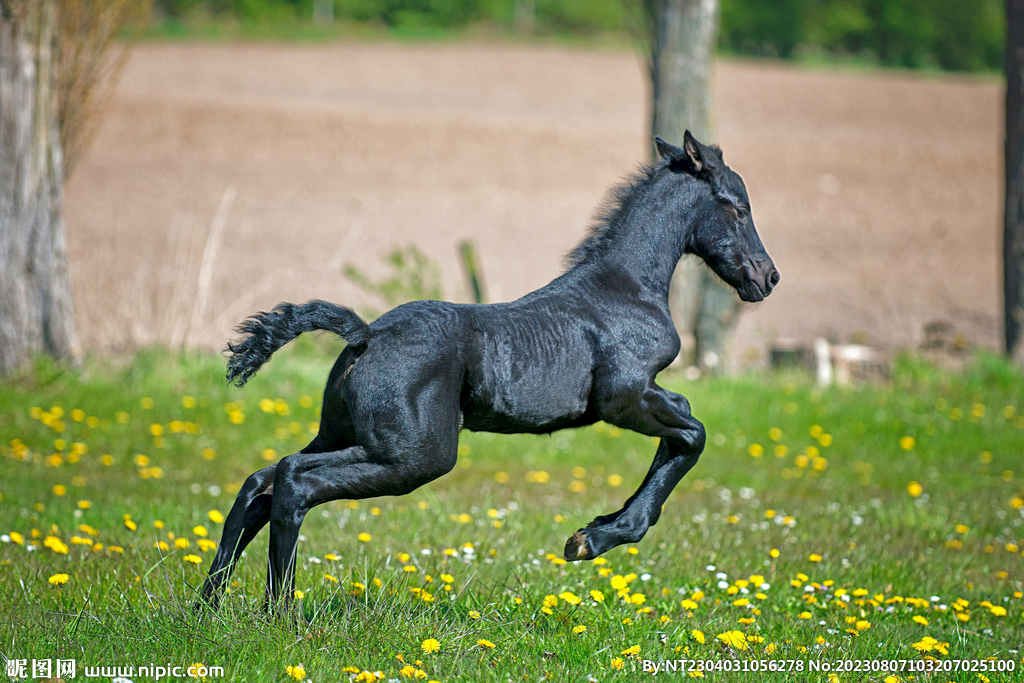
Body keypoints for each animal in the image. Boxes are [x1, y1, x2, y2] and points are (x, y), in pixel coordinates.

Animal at [197, 132, 779, 611]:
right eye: (740, 208)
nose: (768, 277)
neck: (625, 288)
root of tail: (365, 335)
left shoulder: (643, 396)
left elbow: (682, 427)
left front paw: (597, 529)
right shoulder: (625, 397)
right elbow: (693, 433)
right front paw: (595, 538)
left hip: (346, 435)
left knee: (260, 482)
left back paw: (209, 606)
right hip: (414, 455)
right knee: (295, 479)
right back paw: (279, 612)